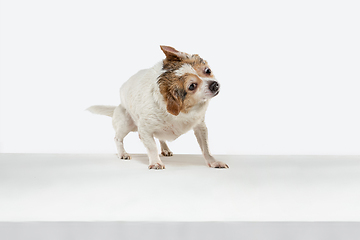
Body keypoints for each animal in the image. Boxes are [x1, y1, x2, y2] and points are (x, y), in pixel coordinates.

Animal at [87, 46, 228, 170]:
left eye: (207, 71)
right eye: (192, 86)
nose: (215, 85)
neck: (182, 111)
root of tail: (117, 107)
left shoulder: (200, 127)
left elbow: (206, 147)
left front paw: (213, 162)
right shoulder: (144, 130)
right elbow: (152, 147)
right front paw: (156, 162)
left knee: (160, 138)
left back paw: (165, 149)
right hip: (126, 123)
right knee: (118, 138)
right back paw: (123, 153)